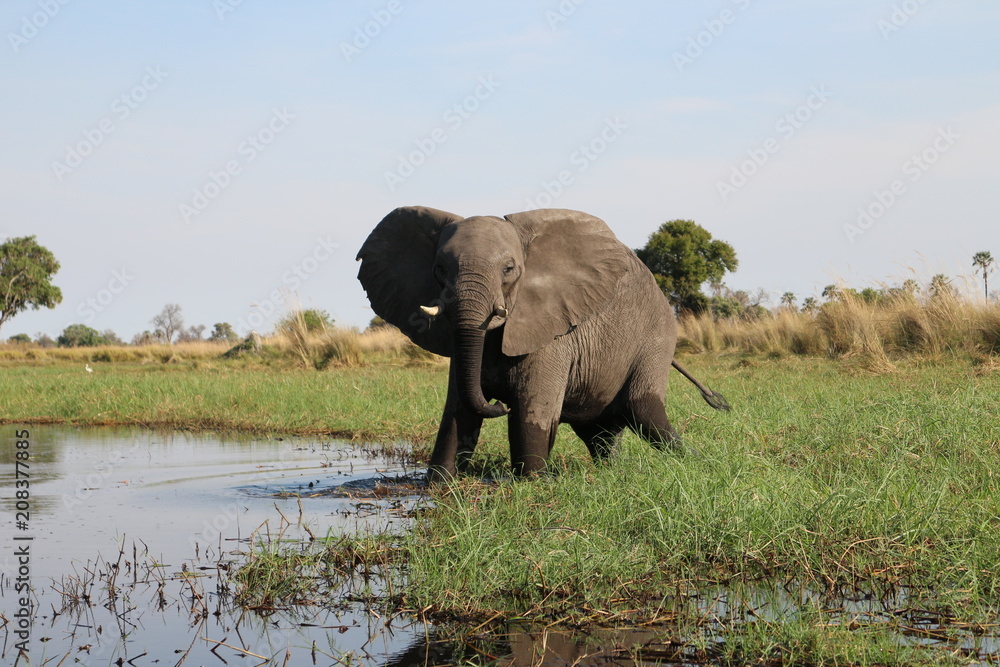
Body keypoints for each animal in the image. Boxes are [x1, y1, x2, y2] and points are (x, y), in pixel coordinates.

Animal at [356, 206, 729, 483]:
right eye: (439, 268)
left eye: (509, 269)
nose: (498, 404)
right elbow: (458, 415)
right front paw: (437, 485)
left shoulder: (551, 333)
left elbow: (529, 417)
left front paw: (533, 482)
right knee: (601, 433)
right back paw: (613, 473)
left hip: (657, 337)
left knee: (645, 413)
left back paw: (700, 464)